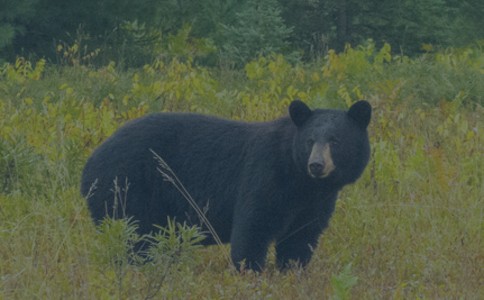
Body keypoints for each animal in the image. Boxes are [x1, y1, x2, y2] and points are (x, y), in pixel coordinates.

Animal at [81, 100, 372, 272]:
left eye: (335, 140)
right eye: (310, 140)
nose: (316, 165)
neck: (300, 181)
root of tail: (89, 164)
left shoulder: (315, 202)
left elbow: (300, 238)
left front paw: (292, 271)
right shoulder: (265, 176)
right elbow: (252, 228)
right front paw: (250, 271)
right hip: (126, 186)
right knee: (134, 236)